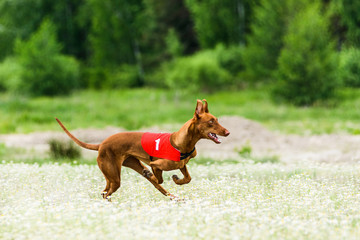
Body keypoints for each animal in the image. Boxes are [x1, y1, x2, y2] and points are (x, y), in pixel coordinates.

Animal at [56, 98, 231, 200]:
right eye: (211, 122)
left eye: (217, 120)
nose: (227, 132)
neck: (180, 141)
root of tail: (101, 144)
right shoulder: (156, 164)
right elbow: (158, 177)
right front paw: (159, 177)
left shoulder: (182, 165)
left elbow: (187, 178)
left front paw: (177, 180)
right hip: (115, 175)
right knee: (108, 191)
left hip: (122, 169)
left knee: (105, 191)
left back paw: (174, 197)